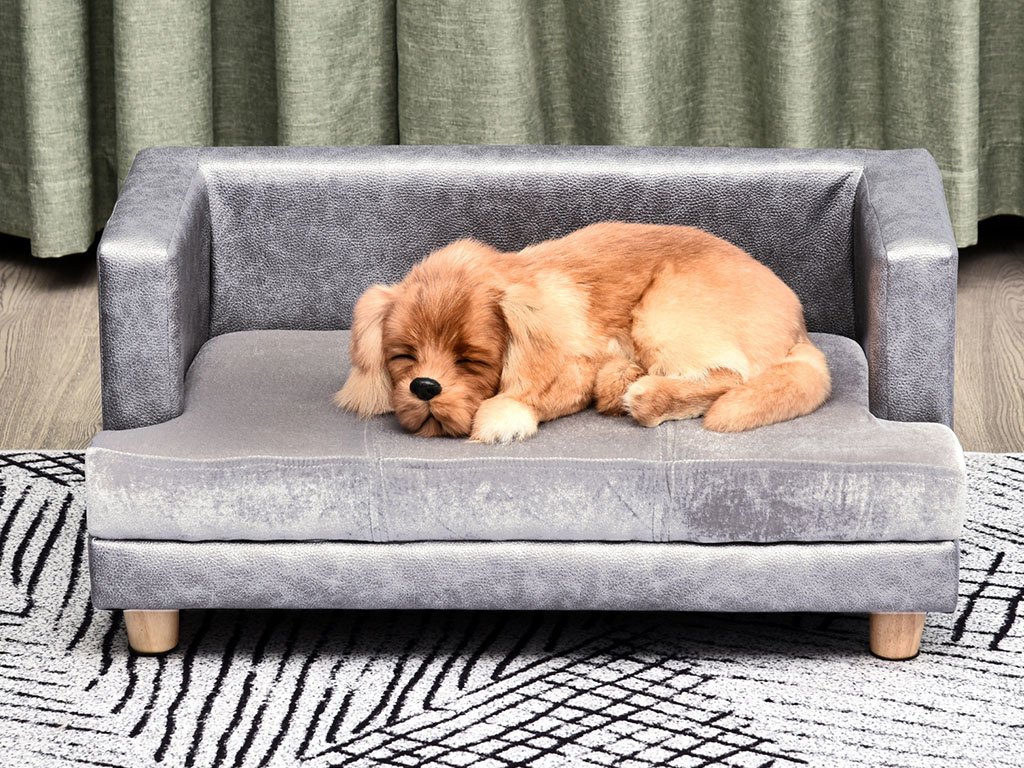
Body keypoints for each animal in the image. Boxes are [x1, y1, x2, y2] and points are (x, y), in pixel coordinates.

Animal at [335, 222, 831, 443]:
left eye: (470, 360)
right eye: (403, 356)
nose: (424, 387)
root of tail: (799, 323)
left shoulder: (576, 364)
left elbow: (535, 392)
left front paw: (503, 415)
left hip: (661, 310)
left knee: (730, 376)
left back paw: (643, 393)